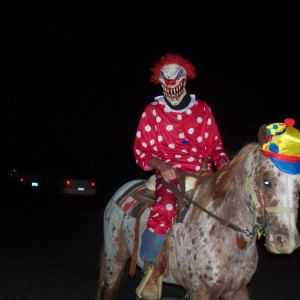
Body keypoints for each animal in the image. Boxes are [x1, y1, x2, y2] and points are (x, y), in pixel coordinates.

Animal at [96, 123, 300, 298]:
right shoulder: (201, 291)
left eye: (298, 185)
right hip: (114, 260)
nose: (287, 241)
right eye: (267, 181)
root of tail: (120, 192)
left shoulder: (238, 290)